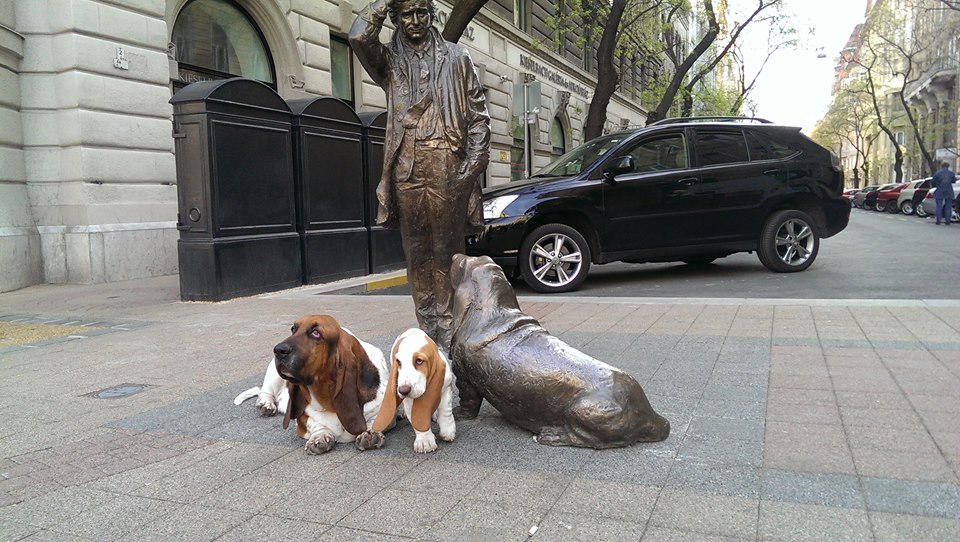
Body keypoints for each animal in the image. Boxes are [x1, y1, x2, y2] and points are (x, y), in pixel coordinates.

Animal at [235, 316, 386, 456]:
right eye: (293, 329)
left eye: (316, 333)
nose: (278, 350)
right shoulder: (302, 417)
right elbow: (314, 422)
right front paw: (320, 436)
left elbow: (376, 419)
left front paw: (370, 432)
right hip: (273, 375)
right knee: (265, 391)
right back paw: (265, 405)